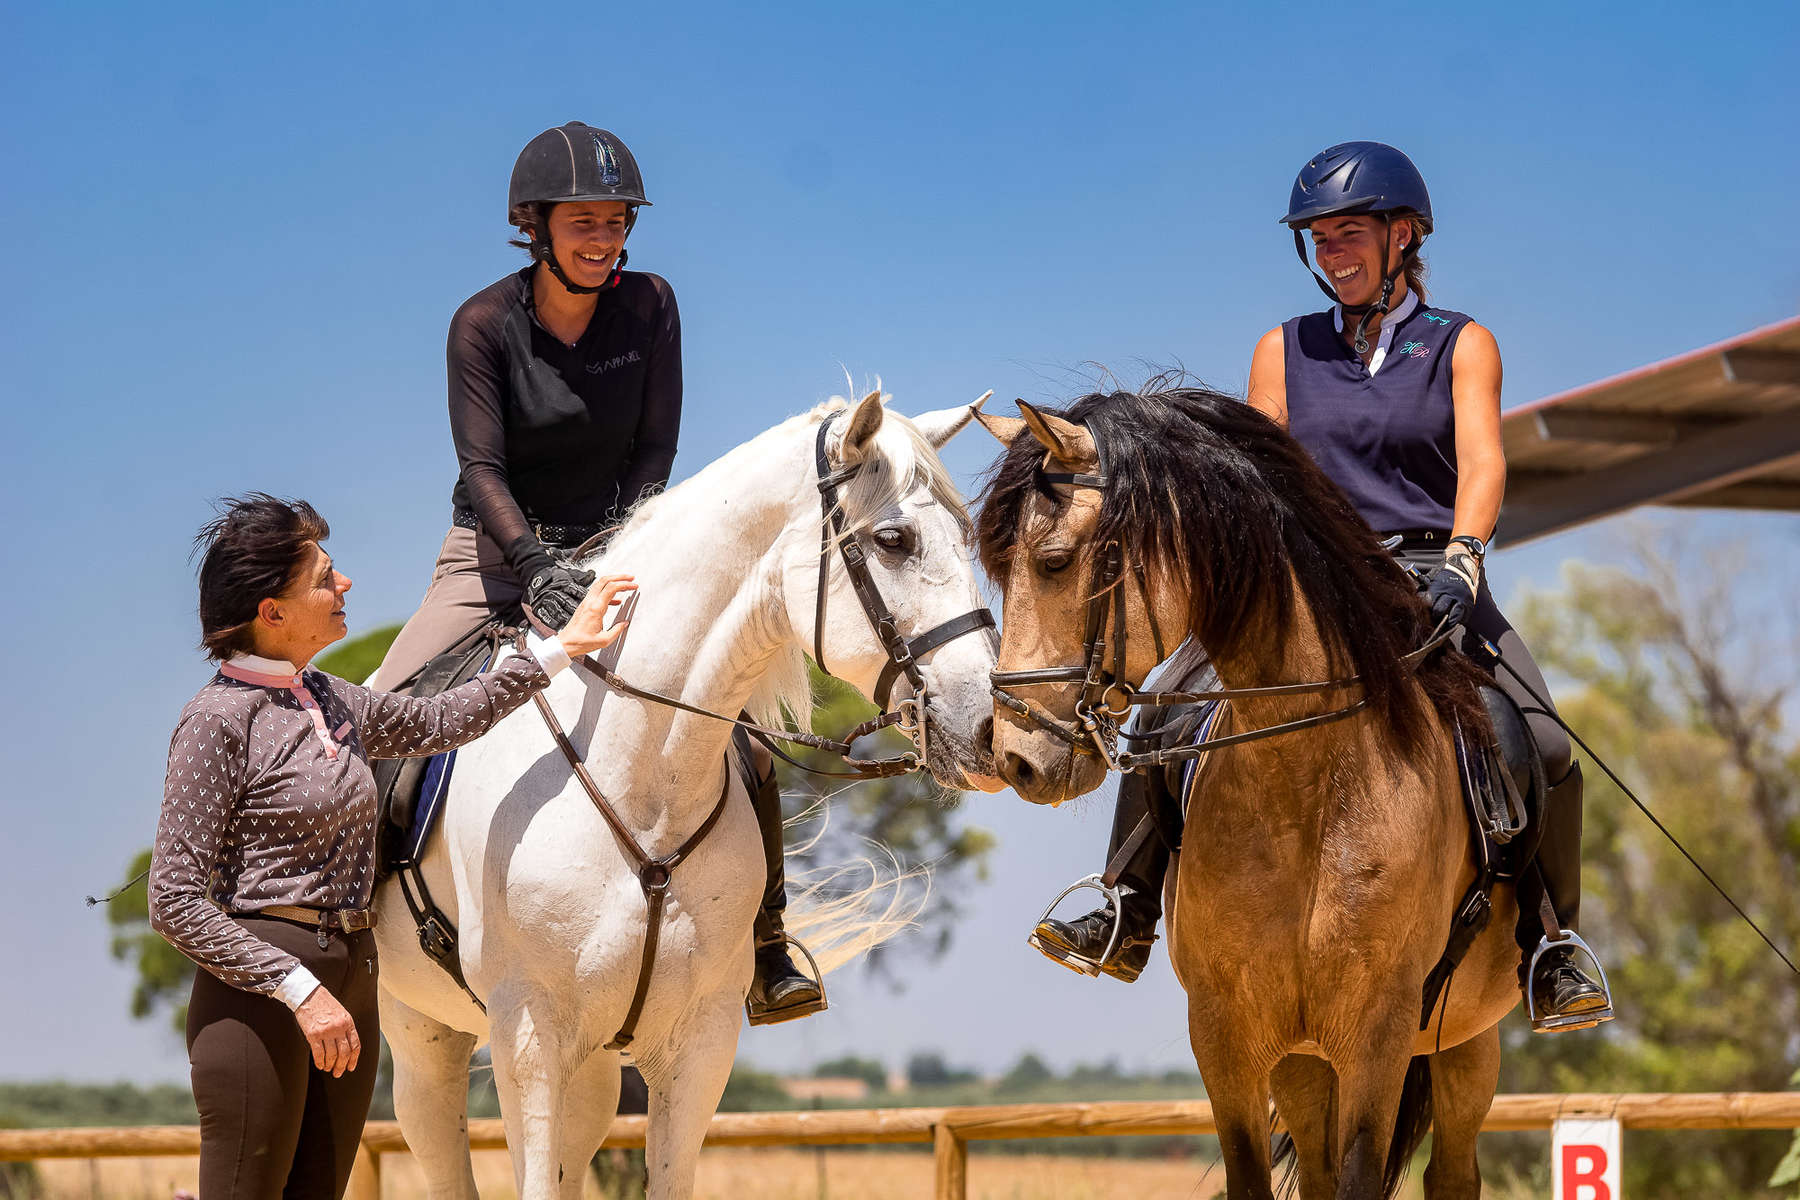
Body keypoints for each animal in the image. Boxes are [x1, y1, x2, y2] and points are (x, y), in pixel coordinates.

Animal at [979, 386, 1526, 1200]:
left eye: (1052, 562)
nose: (1016, 758)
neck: (1303, 785)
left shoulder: (1379, 1034)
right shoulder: (1227, 1034)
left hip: (1462, 1041)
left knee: (1454, 1172)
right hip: (1305, 1063)